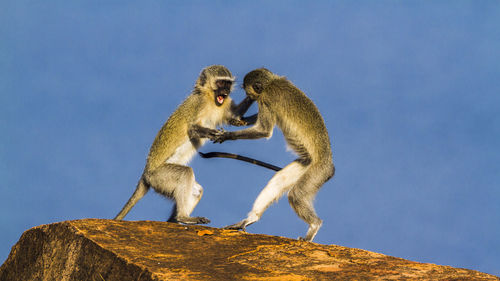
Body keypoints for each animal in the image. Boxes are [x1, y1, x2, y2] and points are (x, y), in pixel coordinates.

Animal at [114, 65, 254, 223]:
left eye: (228, 84)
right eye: (220, 83)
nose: (225, 91)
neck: (211, 99)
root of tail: (145, 174)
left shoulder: (224, 105)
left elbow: (234, 115)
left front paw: (255, 92)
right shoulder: (199, 104)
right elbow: (192, 129)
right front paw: (211, 133)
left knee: (197, 191)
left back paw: (175, 220)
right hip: (159, 177)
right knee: (185, 173)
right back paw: (183, 217)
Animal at [209, 68, 334, 241]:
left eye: (248, 92)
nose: (248, 98)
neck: (271, 82)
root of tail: (330, 165)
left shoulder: (267, 99)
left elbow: (264, 131)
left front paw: (227, 135)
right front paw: (239, 120)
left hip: (318, 172)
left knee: (296, 195)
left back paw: (314, 225)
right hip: (305, 164)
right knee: (278, 181)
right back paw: (251, 218)